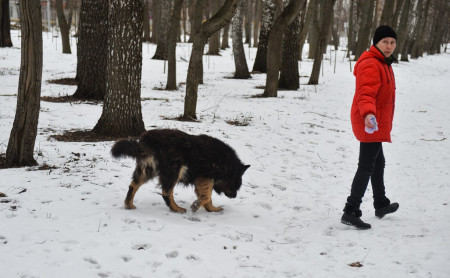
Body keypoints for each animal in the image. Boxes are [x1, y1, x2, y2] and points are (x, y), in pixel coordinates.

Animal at [110, 129, 250, 213]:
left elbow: (206, 197)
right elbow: (206, 196)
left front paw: (211, 209)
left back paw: (129, 204)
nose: (234, 196)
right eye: (235, 184)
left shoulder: (201, 179)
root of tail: (148, 139)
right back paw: (176, 208)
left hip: (147, 169)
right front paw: (197, 205)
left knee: (133, 185)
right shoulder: (205, 177)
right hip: (176, 169)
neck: (225, 162)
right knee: (166, 192)